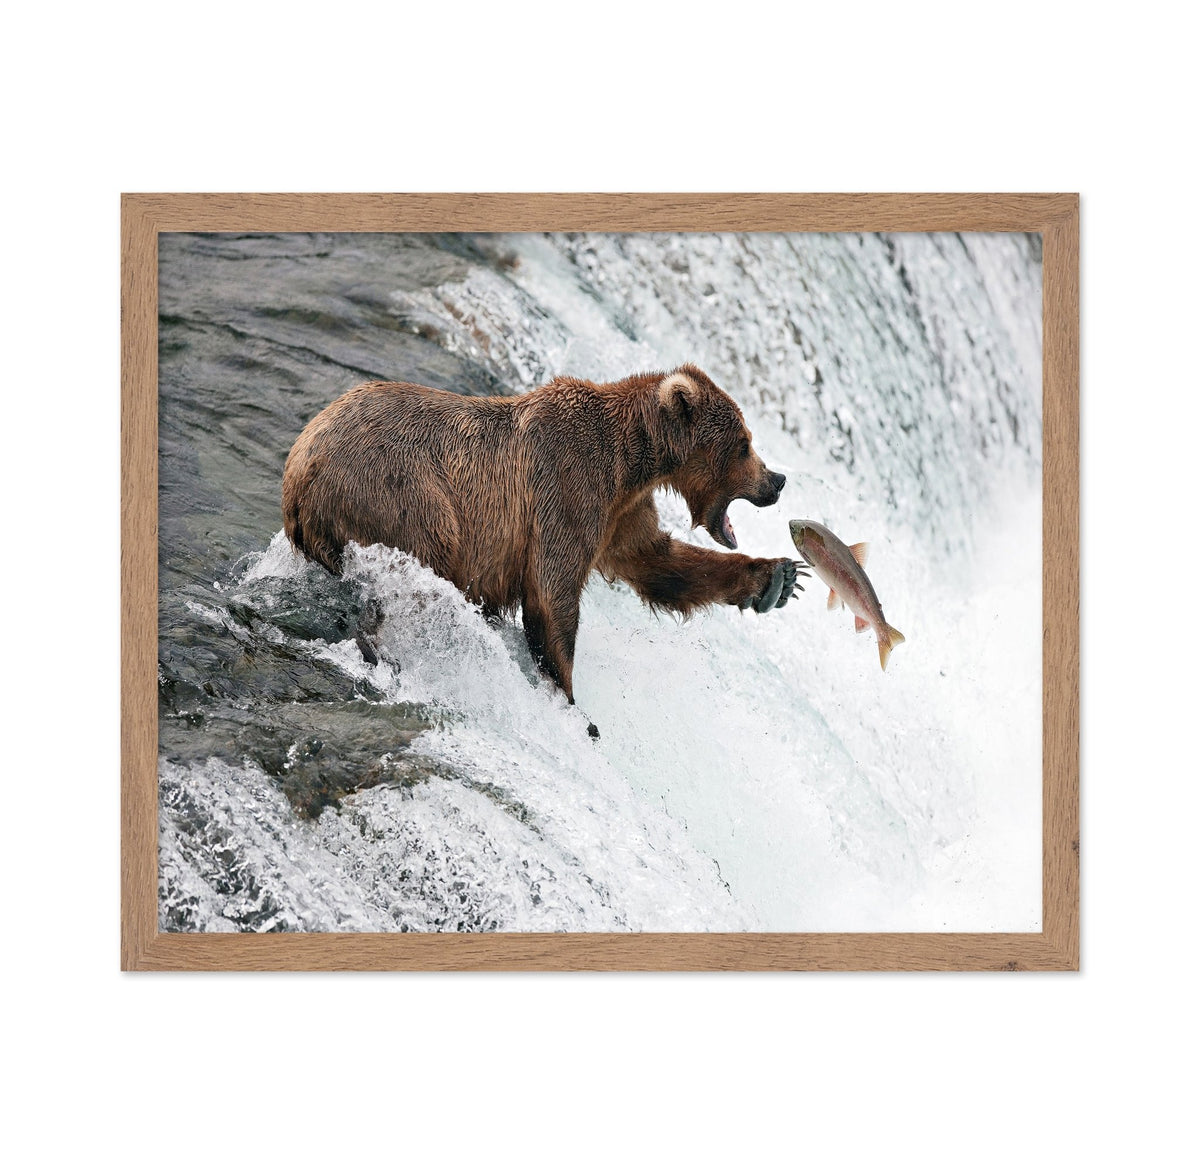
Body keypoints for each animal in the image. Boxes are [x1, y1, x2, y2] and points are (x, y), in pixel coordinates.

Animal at [282, 364, 802, 705]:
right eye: (744, 444)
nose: (777, 480)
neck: (633, 461)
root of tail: (299, 466)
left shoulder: (621, 513)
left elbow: (657, 562)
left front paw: (778, 578)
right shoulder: (568, 487)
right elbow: (553, 596)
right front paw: (569, 700)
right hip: (403, 494)